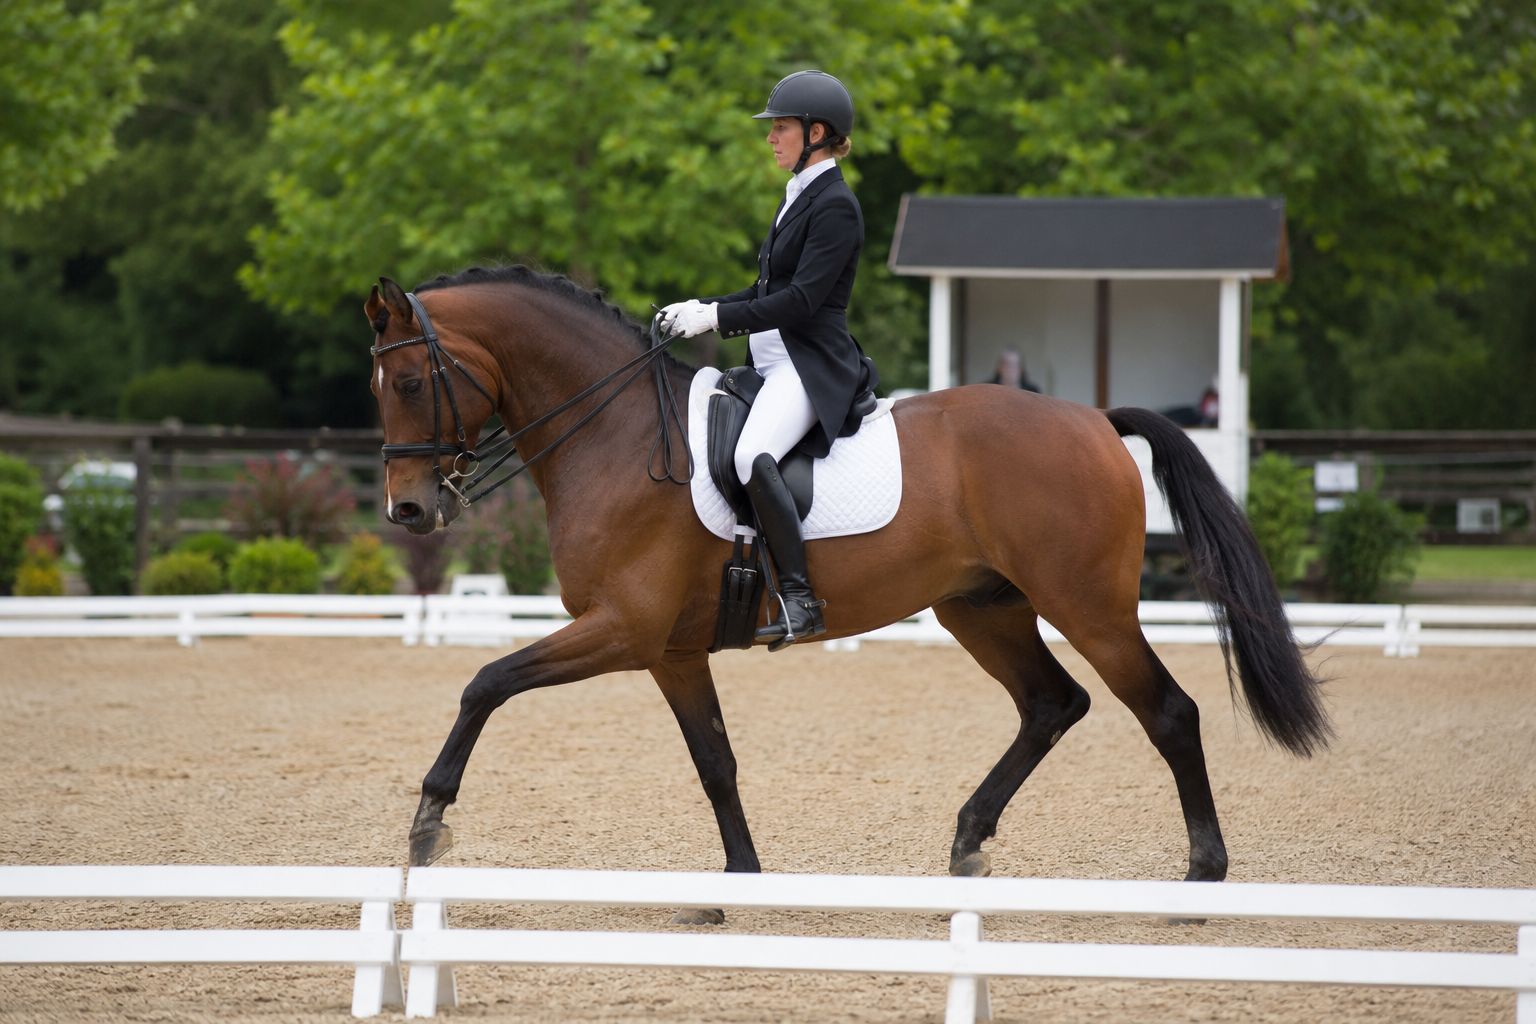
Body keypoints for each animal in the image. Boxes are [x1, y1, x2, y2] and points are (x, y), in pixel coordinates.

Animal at [365, 265, 1328, 915]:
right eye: (380, 386)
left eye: (410, 381)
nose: (407, 509)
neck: (617, 432)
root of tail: (1092, 419)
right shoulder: (669, 651)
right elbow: (715, 762)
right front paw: (738, 885)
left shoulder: (622, 630)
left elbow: (485, 682)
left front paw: (429, 821)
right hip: (981, 607)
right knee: (1052, 704)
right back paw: (968, 844)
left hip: (1087, 606)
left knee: (1167, 713)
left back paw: (1200, 878)